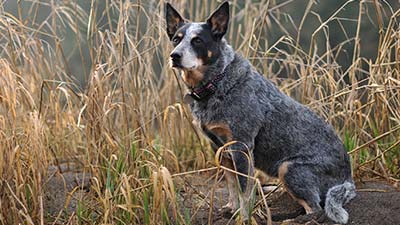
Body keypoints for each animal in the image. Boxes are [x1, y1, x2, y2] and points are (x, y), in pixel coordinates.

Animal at [165, 1, 356, 223]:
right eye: (176, 39)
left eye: (197, 40)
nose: (174, 55)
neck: (217, 82)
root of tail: (348, 177)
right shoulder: (220, 147)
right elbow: (231, 185)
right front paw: (231, 209)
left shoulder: (241, 146)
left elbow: (244, 190)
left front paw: (243, 217)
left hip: (289, 168)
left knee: (315, 208)